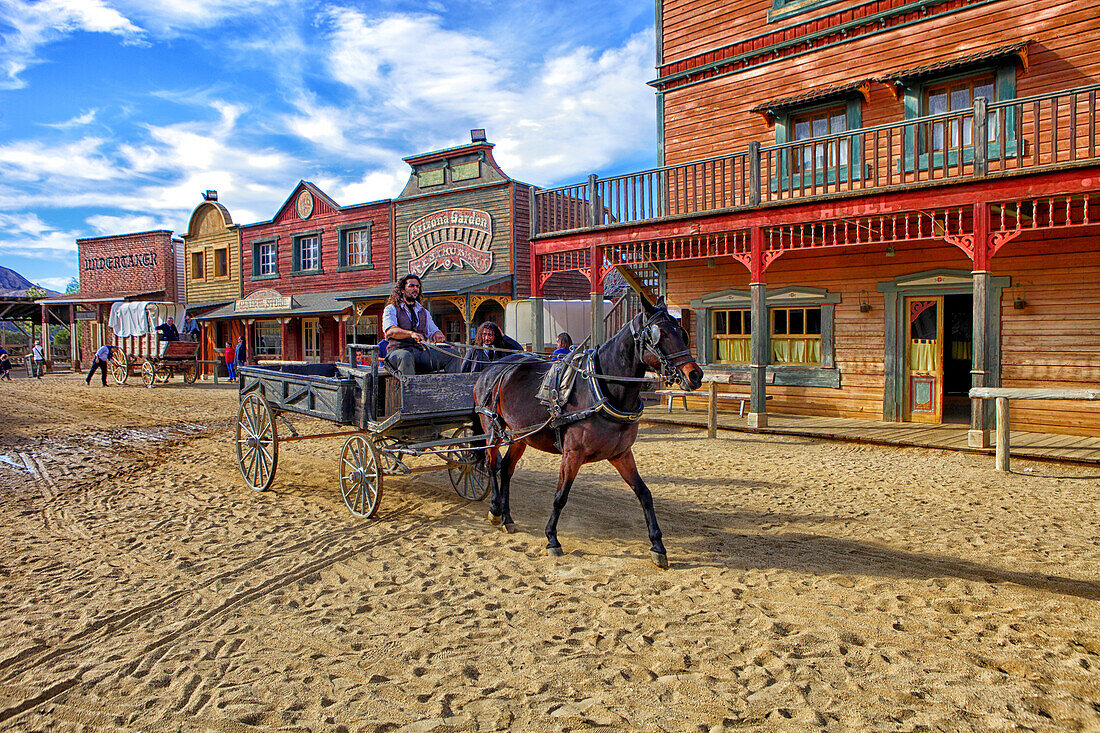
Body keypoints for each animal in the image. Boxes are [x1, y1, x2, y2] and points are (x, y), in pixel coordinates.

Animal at [475, 294, 704, 567]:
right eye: (660, 334)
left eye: (681, 332)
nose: (695, 375)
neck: (602, 389)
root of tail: (492, 368)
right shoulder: (572, 454)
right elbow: (560, 495)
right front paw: (552, 538)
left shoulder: (621, 454)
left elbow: (644, 494)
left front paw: (658, 546)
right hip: (493, 430)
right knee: (492, 465)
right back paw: (494, 511)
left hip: (521, 436)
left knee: (507, 470)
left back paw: (508, 518)